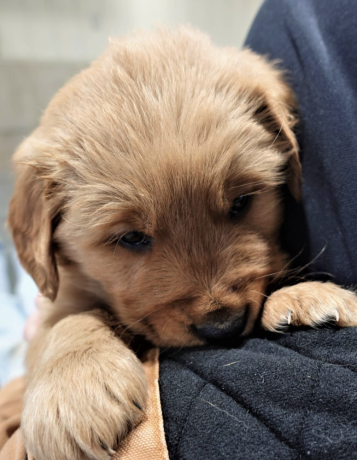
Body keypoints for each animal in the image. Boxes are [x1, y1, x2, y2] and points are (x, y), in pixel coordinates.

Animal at [6, 27, 356, 460]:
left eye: (241, 202)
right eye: (132, 238)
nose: (222, 327)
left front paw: (305, 297)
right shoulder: (58, 302)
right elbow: (68, 321)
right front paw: (74, 390)